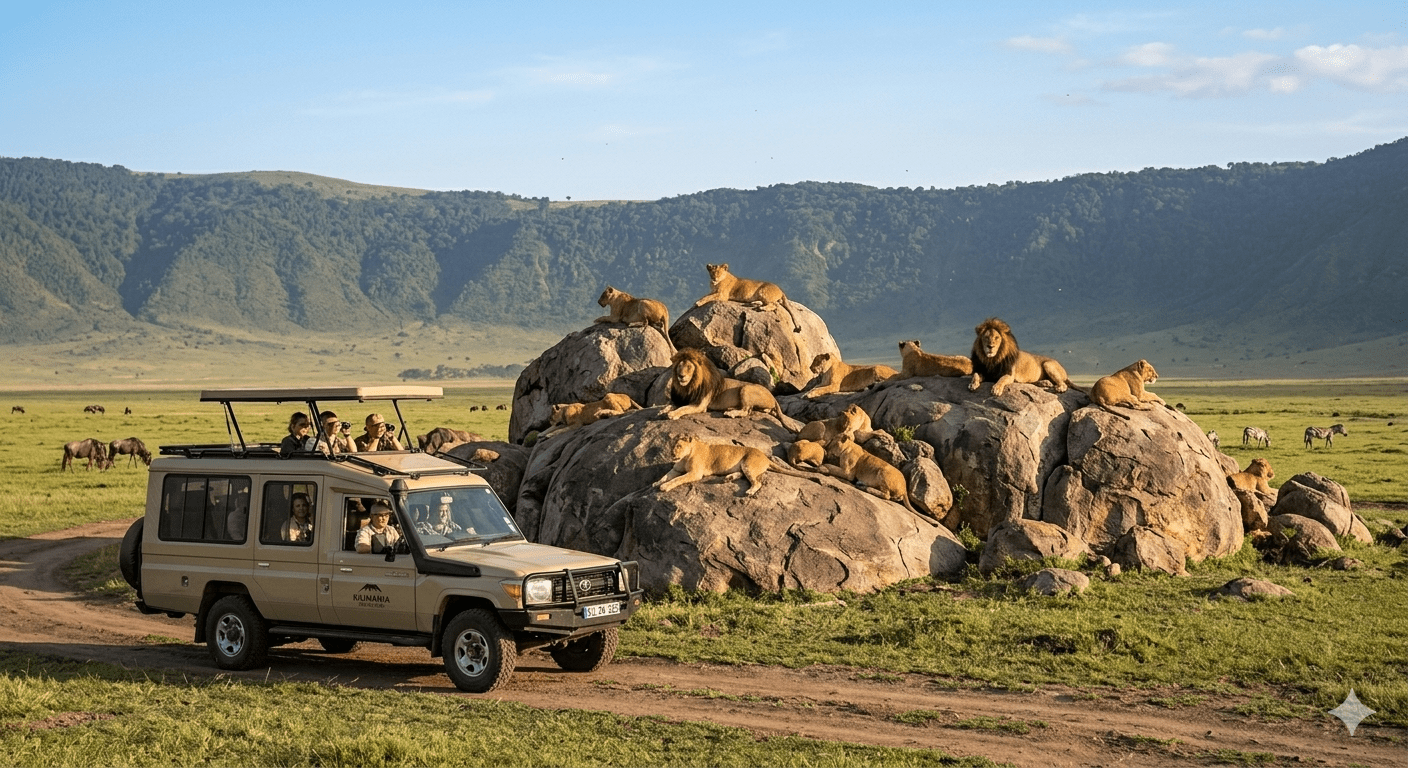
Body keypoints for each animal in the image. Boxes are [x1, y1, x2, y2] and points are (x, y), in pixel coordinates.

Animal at [660, 348, 790, 425]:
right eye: (679, 366)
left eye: (689, 367)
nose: (680, 376)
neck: (688, 386)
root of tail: (773, 396)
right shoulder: (682, 399)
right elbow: (672, 405)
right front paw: (663, 410)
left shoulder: (700, 405)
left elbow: (684, 408)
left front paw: (672, 414)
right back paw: (731, 409)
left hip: (746, 388)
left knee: (746, 411)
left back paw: (730, 413)